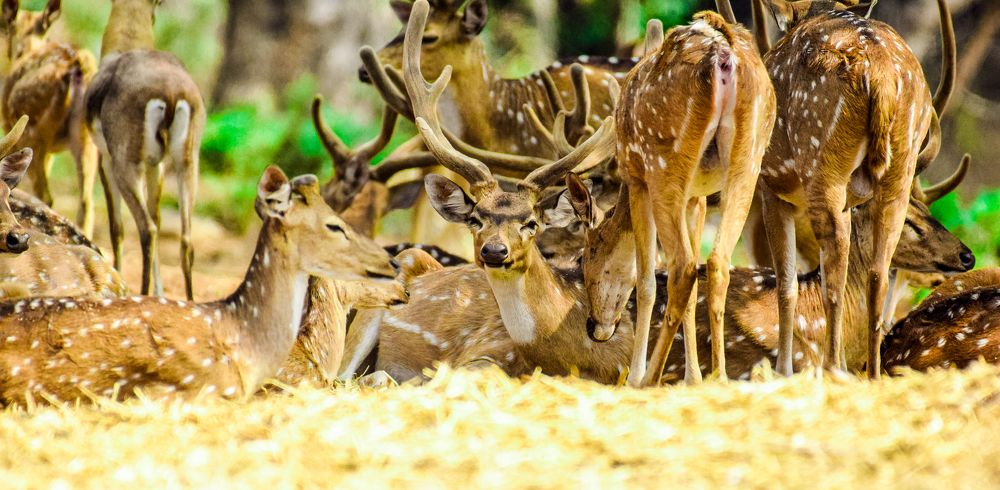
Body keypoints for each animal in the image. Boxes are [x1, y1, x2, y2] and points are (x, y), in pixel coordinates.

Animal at [85, 0, 205, 299]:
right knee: (185, 239)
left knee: (146, 228)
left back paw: (139, 293)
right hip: (188, 165)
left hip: (125, 167)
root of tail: (171, 91)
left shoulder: (106, 161)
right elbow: (159, 218)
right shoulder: (156, 166)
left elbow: (116, 227)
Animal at [751, 0, 940, 378]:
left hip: (823, 164)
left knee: (834, 277)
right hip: (899, 170)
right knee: (877, 273)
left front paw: (782, 370)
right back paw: (872, 373)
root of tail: (882, 73)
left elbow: (786, 283)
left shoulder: (771, 188)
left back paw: (832, 368)